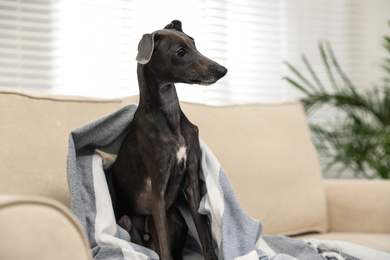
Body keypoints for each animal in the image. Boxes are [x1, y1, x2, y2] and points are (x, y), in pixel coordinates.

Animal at [112, 20, 227, 260]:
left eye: (194, 43)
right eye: (180, 52)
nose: (222, 70)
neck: (170, 118)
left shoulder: (192, 182)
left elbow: (204, 235)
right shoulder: (157, 191)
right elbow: (165, 249)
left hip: (176, 215)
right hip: (128, 220)